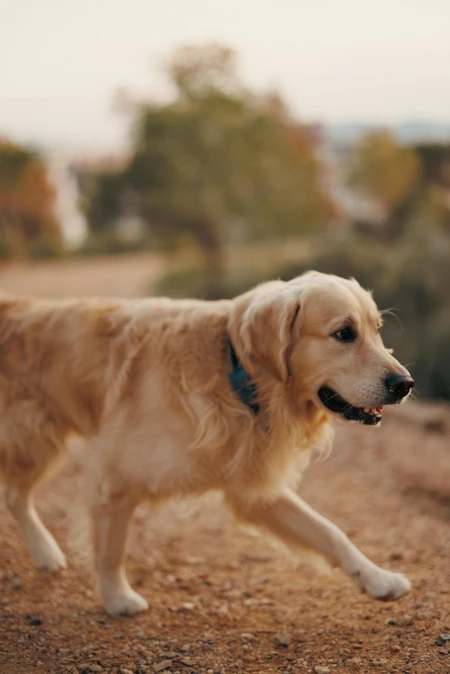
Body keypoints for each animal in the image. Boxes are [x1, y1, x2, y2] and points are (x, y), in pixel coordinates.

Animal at [0, 270, 414, 612]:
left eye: (377, 329)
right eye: (344, 333)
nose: (405, 384)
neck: (238, 376)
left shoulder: (251, 486)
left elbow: (330, 531)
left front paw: (378, 578)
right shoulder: (117, 479)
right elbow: (112, 549)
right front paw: (117, 598)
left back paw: (45, 554)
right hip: (35, 442)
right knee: (15, 495)